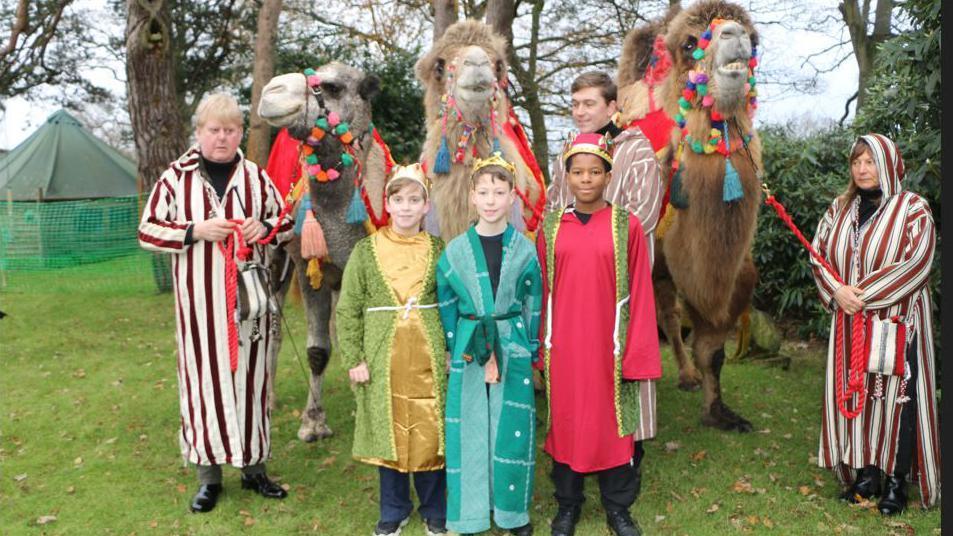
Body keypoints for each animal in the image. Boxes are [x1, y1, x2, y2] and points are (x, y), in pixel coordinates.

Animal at [256, 61, 390, 440]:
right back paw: (269, 400)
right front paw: (313, 422)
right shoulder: (307, 267)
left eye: (331, 87)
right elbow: (317, 349)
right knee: (274, 327)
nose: (271, 92)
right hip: (277, 258)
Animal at [616, 1, 768, 432]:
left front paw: (719, 413)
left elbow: (712, 351)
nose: (734, 35)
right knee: (665, 316)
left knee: (670, 315)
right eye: (689, 44)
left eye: (754, 40)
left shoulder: (732, 277)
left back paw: (687, 375)